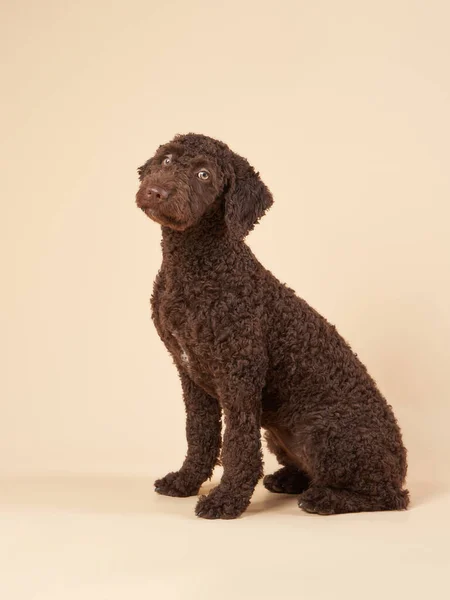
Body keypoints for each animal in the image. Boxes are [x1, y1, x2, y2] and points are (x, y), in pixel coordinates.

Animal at [135, 134, 410, 516]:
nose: (156, 191)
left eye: (204, 174)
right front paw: (185, 482)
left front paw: (226, 500)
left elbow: (238, 446)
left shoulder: (240, 375)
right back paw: (288, 480)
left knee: (388, 497)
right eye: (166, 160)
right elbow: (199, 434)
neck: (196, 269)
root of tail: (400, 463)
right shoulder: (189, 374)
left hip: (322, 432)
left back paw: (324, 499)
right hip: (281, 434)